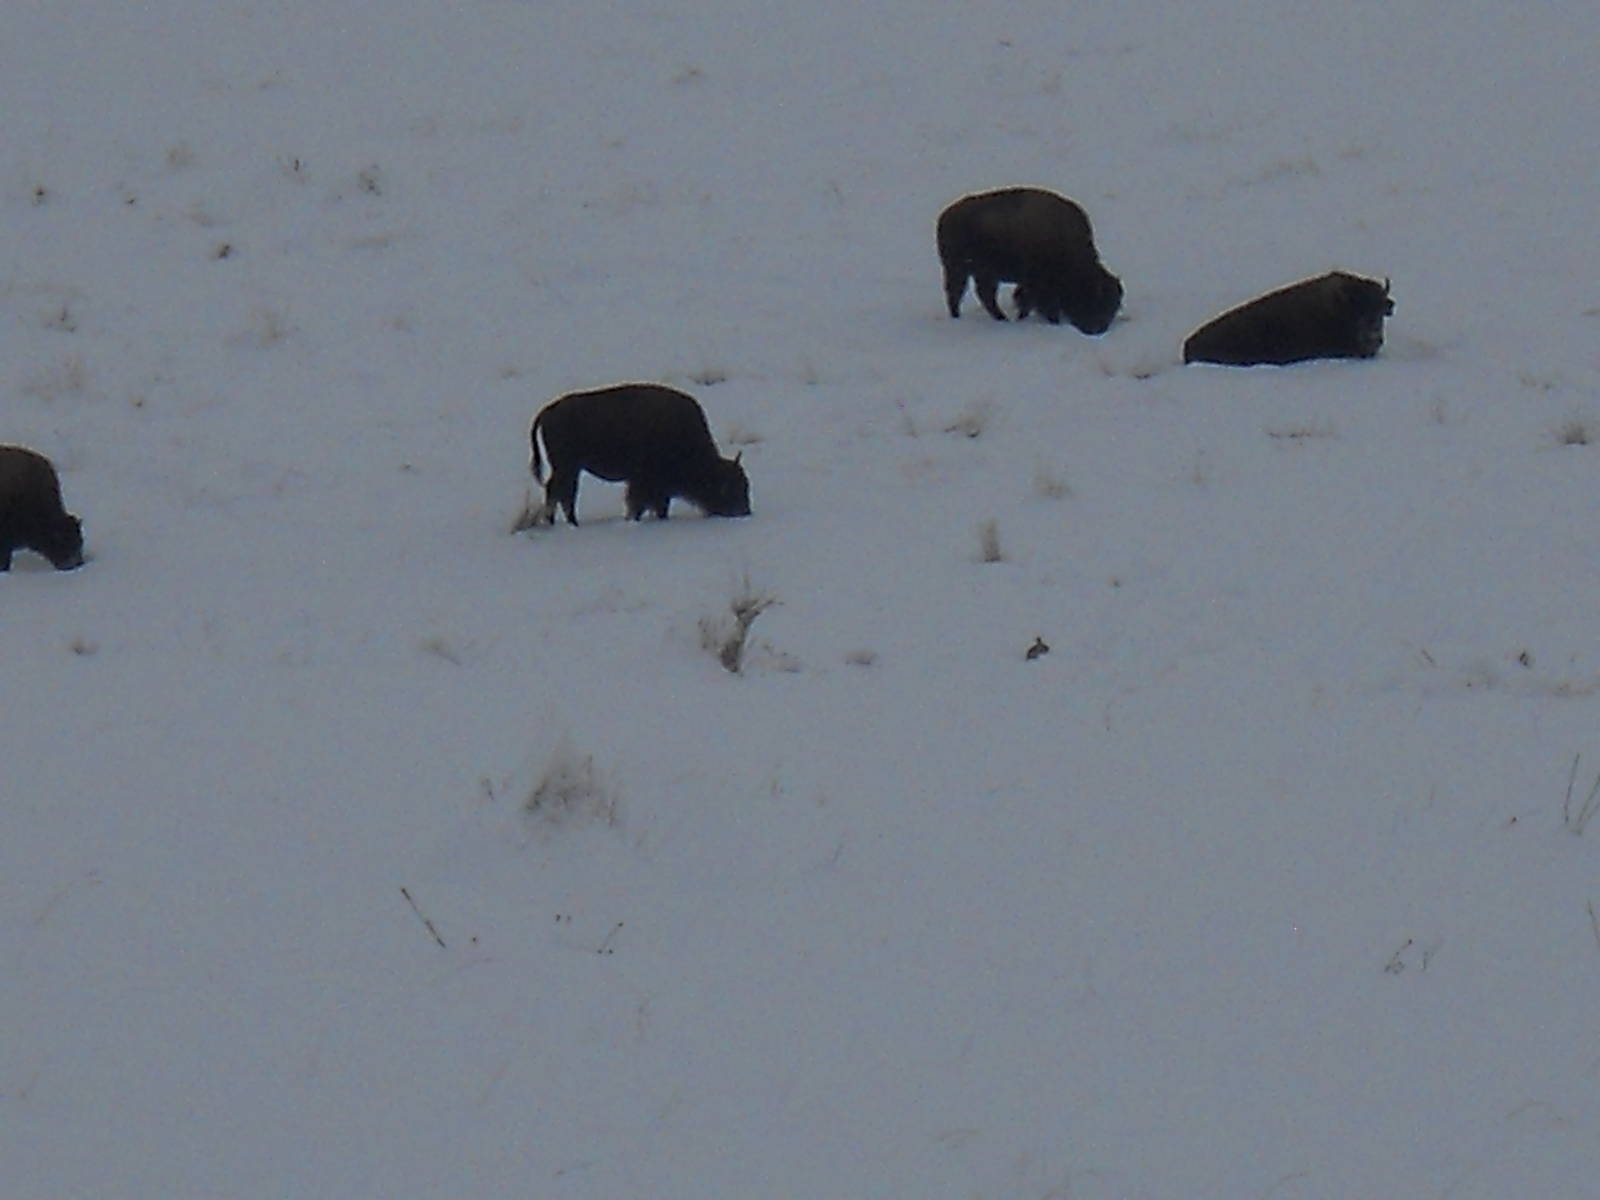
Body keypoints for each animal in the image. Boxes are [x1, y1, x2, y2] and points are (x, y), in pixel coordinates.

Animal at [529, 383, 751, 527]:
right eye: (732, 489)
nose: (745, 512)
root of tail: (547, 411)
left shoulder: (659, 488)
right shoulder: (645, 482)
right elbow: (638, 503)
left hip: (568, 468)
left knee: (559, 492)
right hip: (568, 467)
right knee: (562, 493)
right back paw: (570, 524)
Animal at [937, 187, 1123, 334]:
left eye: (1113, 306)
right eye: (1094, 301)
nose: (1098, 329)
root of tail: (945, 216)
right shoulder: (1038, 285)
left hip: (981, 273)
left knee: (982, 295)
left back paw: (1001, 319)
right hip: (959, 270)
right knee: (958, 294)